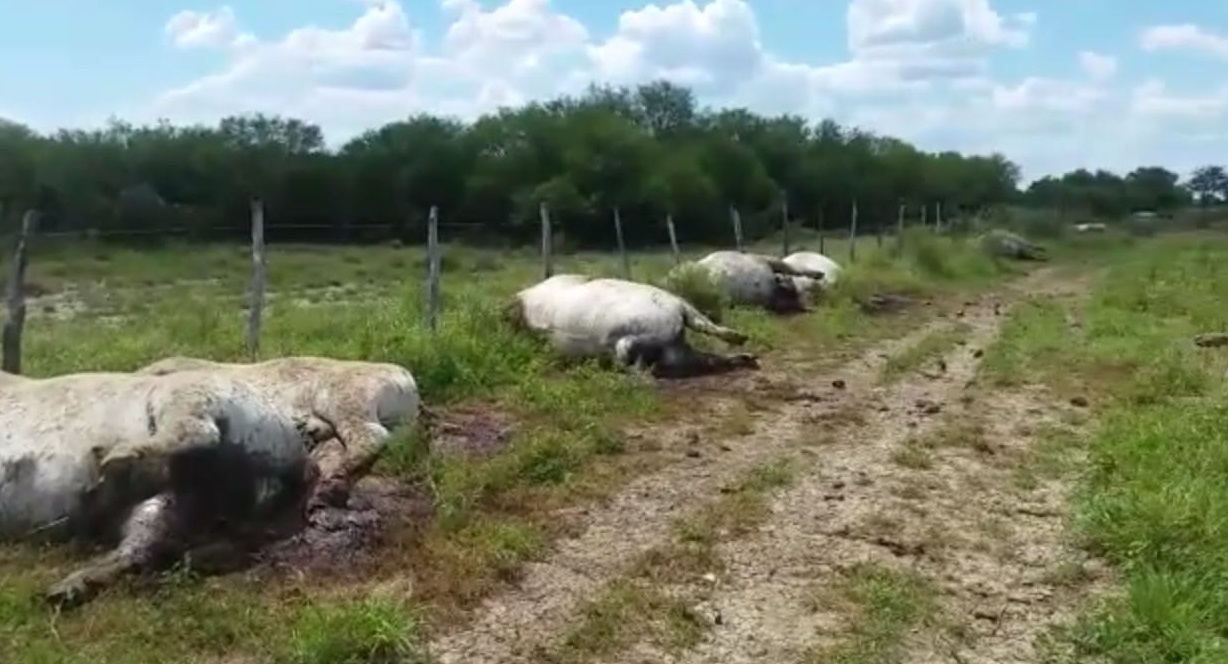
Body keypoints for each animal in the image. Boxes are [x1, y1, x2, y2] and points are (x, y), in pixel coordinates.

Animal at [1, 368, 316, 606]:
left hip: (187, 392)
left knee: (198, 430)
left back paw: (111, 458)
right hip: (171, 501)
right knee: (142, 548)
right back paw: (62, 589)